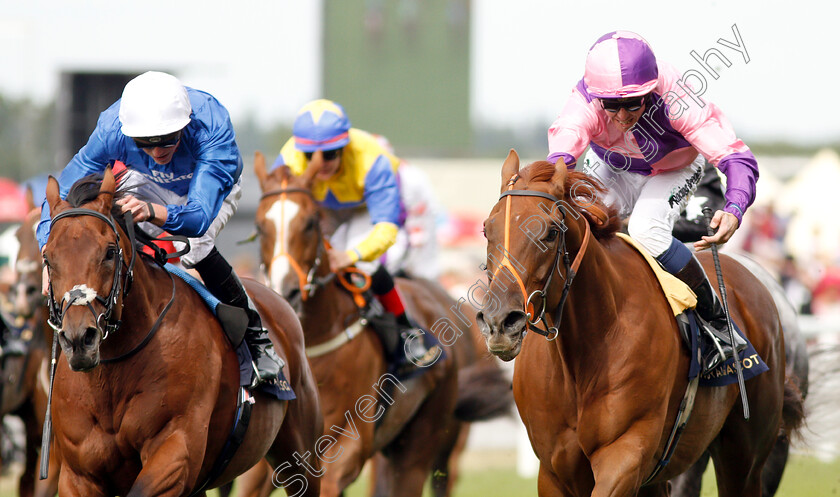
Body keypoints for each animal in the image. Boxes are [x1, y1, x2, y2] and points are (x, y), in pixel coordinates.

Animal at [41, 169, 324, 494]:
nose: (79, 339)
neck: (112, 374)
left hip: (301, 453)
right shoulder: (78, 474)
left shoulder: (175, 449)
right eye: (48, 258)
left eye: (110, 252)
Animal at [249, 152, 512, 496]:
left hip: (422, 445)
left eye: (310, 222)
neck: (315, 340)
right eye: (259, 225)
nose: (288, 290)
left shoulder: (348, 445)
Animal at [476, 151, 804, 496]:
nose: (500, 322)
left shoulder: (625, 454)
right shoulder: (554, 471)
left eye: (551, 232)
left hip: (744, 455)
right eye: (487, 230)